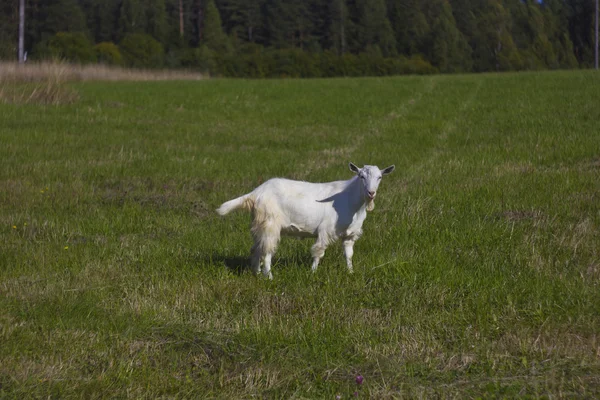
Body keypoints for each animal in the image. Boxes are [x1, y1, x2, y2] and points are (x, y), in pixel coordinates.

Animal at [216, 162, 394, 278]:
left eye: (379, 177)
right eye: (361, 176)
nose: (371, 193)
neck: (350, 200)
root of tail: (256, 193)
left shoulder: (350, 235)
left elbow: (348, 255)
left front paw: (350, 272)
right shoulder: (325, 230)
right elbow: (319, 252)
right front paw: (313, 273)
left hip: (259, 225)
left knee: (256, 249)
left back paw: (256, 273)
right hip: (270, 224)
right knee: (267, 251)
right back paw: (269, 277)